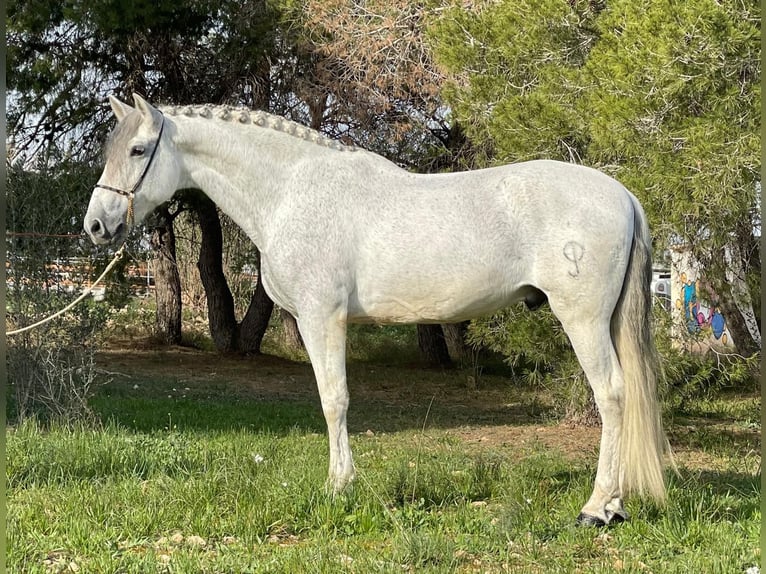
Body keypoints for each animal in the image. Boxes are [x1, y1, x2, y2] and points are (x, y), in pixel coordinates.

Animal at [85, 93, 672, 528]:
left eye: (137, 149)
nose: (96, 224)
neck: (291, 191)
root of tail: (622, 195)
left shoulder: (321, 318)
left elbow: (334, 401)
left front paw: (338, 487)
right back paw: (616, 504)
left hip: (583, 321)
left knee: (612, 395)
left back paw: (597, 508)